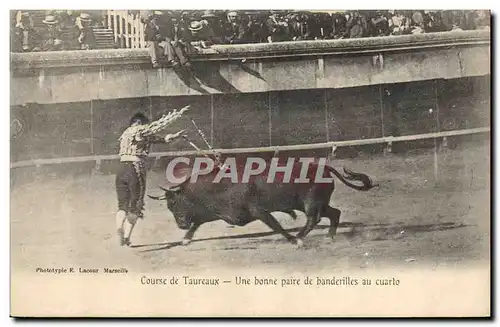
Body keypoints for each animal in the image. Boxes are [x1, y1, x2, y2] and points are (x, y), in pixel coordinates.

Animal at [146, 160, 376, 249]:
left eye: (174, 203)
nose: (180, 225)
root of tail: (324, 167)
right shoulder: (221, 213)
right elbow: (198, 223)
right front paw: (185, 239)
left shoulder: (259, 211)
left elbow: (276, 226)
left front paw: (292, 240)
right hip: (318, 203)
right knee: (334, 213)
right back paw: (330, 237)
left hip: (311, 203)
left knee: (314, 218)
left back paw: (300, 238)